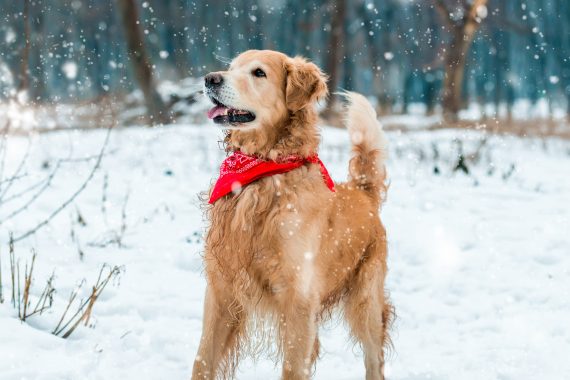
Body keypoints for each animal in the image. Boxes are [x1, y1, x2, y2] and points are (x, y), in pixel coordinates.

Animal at [191, 50, 390, 380]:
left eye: (258, 73)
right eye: (231, 67)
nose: (210, 79)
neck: (263, 172)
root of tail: (363, 191)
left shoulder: (298, 298)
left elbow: (292, 368)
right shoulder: (221, 290)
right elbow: (203, 361)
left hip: (366, 303)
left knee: (374, 361)